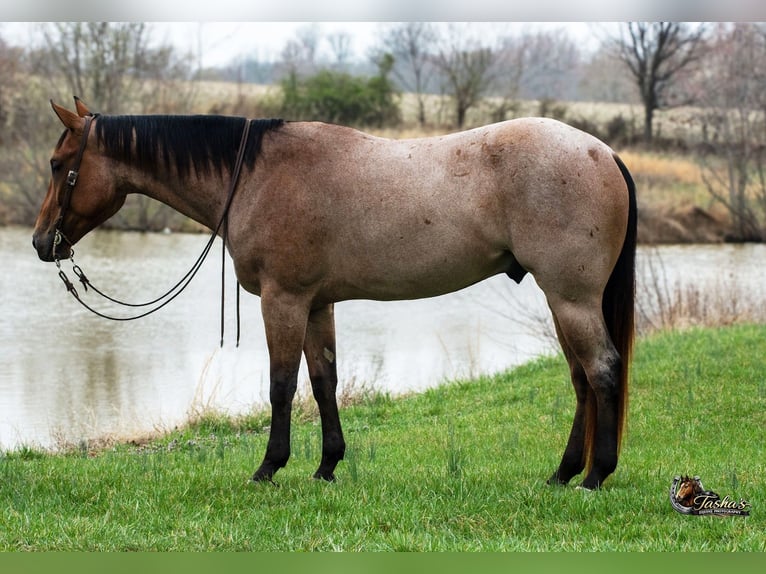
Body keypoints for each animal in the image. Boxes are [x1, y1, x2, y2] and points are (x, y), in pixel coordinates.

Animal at [33, 98, 636, 490]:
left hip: (571, 298)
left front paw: (268, 468)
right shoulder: (317, 303)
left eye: (59, 166)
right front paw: (327, 466)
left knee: (603, 370)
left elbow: (280, 385)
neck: (254, 174)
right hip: (563, 302)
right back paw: (564, 473)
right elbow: (324, 382)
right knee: (582, 379)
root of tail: (603, 153)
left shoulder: (282, 300)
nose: (42, 242)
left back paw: (596, 475)